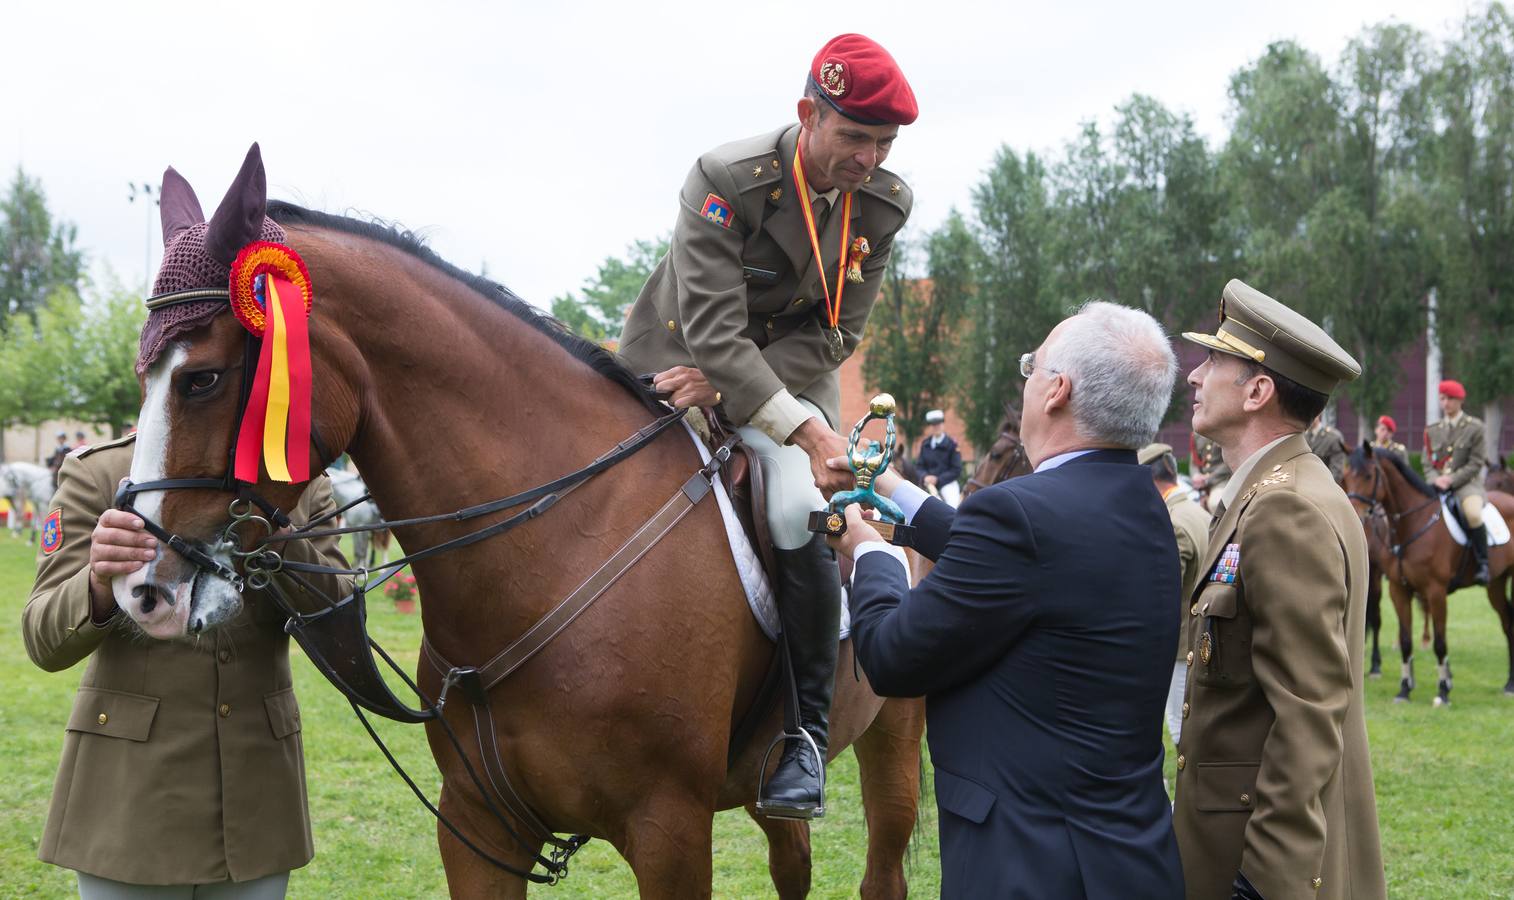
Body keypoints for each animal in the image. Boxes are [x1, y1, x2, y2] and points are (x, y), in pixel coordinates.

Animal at [112, 149, 920, 896]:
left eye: (201, 379)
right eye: (143, 375)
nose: (139, 592)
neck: (555, 547)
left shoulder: (671, 831)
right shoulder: (477, 825)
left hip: (894, 739)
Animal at [1344, 442, 1507, 700]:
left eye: (1368, 475)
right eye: (1345, 476)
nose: (1353, 516)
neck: (1412, 524)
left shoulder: (1436, 592)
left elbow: (1440, 643)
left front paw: (1443, 691)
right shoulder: (1399, 590)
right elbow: (1405, 640)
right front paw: (1404, 688)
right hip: (1496, 585)